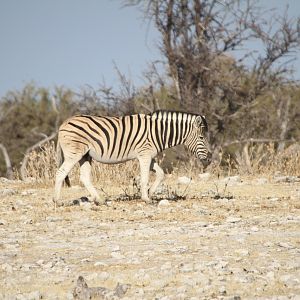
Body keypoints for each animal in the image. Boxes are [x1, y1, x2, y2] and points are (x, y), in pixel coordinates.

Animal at [54, 110, 212, 206]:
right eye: (202, 138)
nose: (210, 158)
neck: (159, 132)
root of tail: (63, 123)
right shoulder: (144, 155)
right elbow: (145, 178)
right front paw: (146, 198)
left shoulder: (149, 156)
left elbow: (161, 174)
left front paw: (150, 193)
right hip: (74, 154)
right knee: (60, 173)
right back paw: (56, 201)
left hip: (85, 156)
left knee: (84, 177)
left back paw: (100, 200)